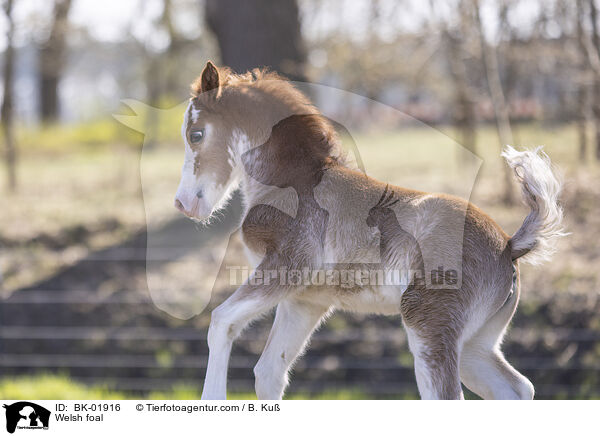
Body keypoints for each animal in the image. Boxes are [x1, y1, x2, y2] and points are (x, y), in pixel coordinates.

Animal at [172, 60, 564, 398]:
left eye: (196, 134)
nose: (183, 203)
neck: (295, 181)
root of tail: (509, 245)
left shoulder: (287, 266)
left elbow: (221, 321)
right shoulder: (305, 300)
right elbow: (269, 373)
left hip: (428, 325)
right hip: (475, 346)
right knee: (517, 388)